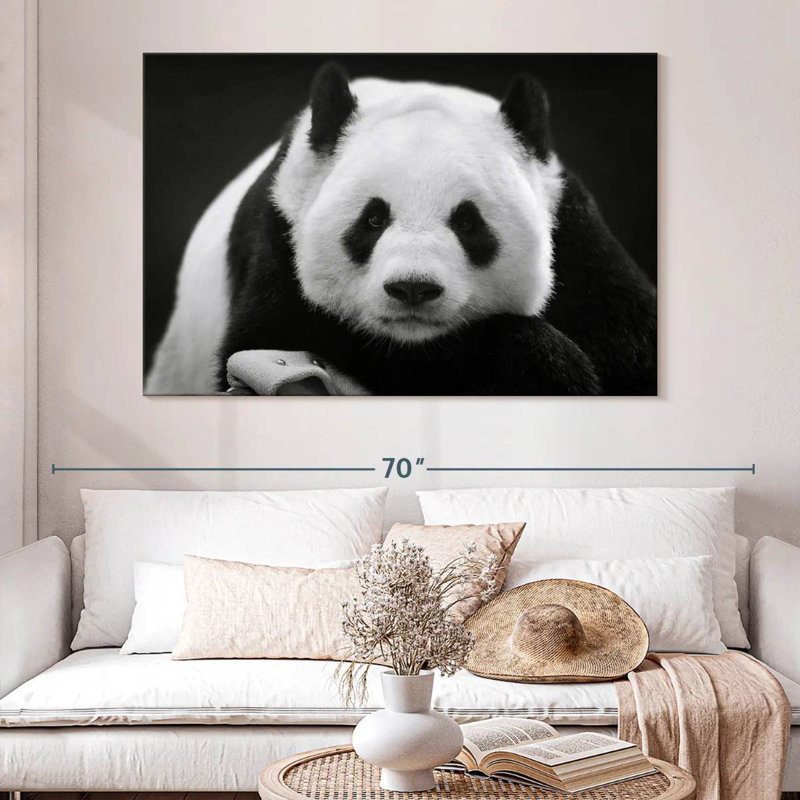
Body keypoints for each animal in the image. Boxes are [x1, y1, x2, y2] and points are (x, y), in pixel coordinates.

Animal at [146, 63, 656, 396]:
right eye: (373, 219)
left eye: (467, 221)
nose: (413, 288)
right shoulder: (281, 235)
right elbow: (275, 336)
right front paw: (544, 366)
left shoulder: (576, 237)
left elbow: (635, 349)